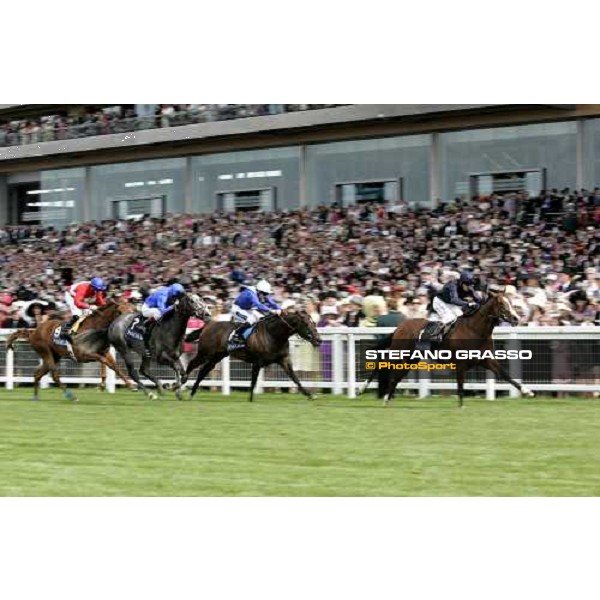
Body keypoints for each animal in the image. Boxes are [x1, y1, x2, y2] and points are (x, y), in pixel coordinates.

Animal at [4, 300, 136, 404]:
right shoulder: (83, 355)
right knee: (55, 375)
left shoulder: (105, 352)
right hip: (45, 352)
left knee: (37, 374)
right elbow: (104, 361)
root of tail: (34, 332)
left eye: (132, 310)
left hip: (55, 355)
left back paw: (35, 398)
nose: (128, 328)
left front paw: (131, 385)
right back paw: (71, 396)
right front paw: (102, 385)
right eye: (119, 312)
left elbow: (114, 366)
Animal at [185, 310, 322, 404]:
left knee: (203, 371)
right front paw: (250, 399)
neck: (273, 334)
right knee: (191, 364)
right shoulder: (257, 362)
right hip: (205, 353)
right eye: (306, 323)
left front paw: (310, 395)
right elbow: (253, 381)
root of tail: (207, 325)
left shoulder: (283, 360)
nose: (318, 340)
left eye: (314, 322)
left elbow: (295, 378)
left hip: (216, 356)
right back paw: (183, 383)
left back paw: (191, 393)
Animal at [356, 292, 536, 408]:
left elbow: (505, 374)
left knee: (396, 376)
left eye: (511, 303)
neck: (474, 330)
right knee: (382, 362)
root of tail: (400, 326)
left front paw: (527, 391)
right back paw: (362, 389)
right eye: (502, 304)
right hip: (400, 352)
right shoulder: (460, 363)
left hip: (410, 359)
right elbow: (460, 383)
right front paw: (461, 406)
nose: (516, 318)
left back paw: (387, 398)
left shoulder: (486, 359)